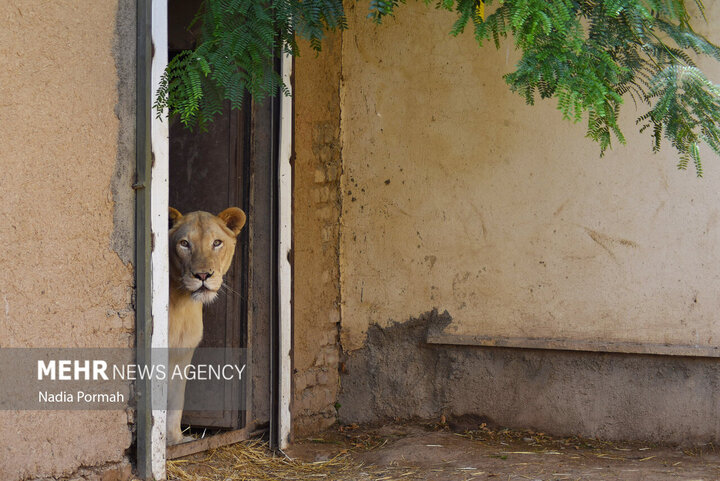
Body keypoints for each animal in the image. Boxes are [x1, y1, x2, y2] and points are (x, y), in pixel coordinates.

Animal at [167, 206, 248, 446]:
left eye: (217, 243)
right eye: (184, 244)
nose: (203, 275)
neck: (182, 304)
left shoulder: (183, 354)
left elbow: (176, 399)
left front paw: (175, 441)